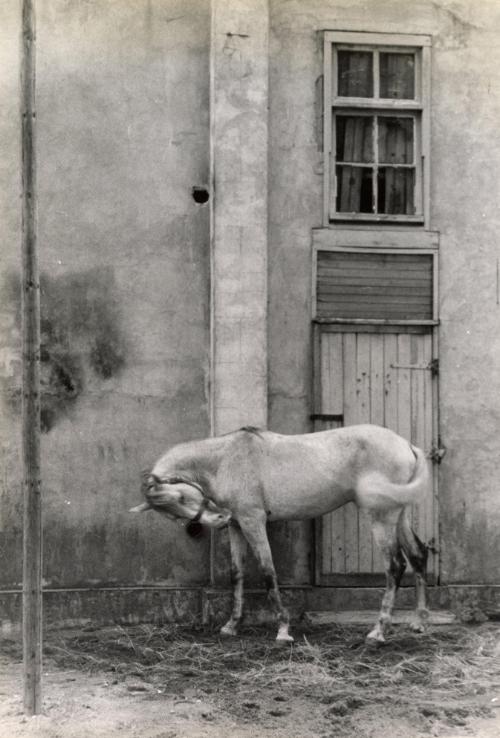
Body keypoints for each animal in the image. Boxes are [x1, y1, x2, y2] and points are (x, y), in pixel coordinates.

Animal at [130, 424, 430, 643]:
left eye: (181, 497)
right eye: (172, 513)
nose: (218, 519)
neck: (225, 459)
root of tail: (406, 445)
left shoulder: (253, 521)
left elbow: (267, 572)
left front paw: (283, 630)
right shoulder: (238, 525)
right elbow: (237, 574)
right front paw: (231, 625)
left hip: (382, 517)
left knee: (395, 566)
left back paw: (378, 631)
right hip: (399, 514)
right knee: (417, 555)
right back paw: (419, 622)